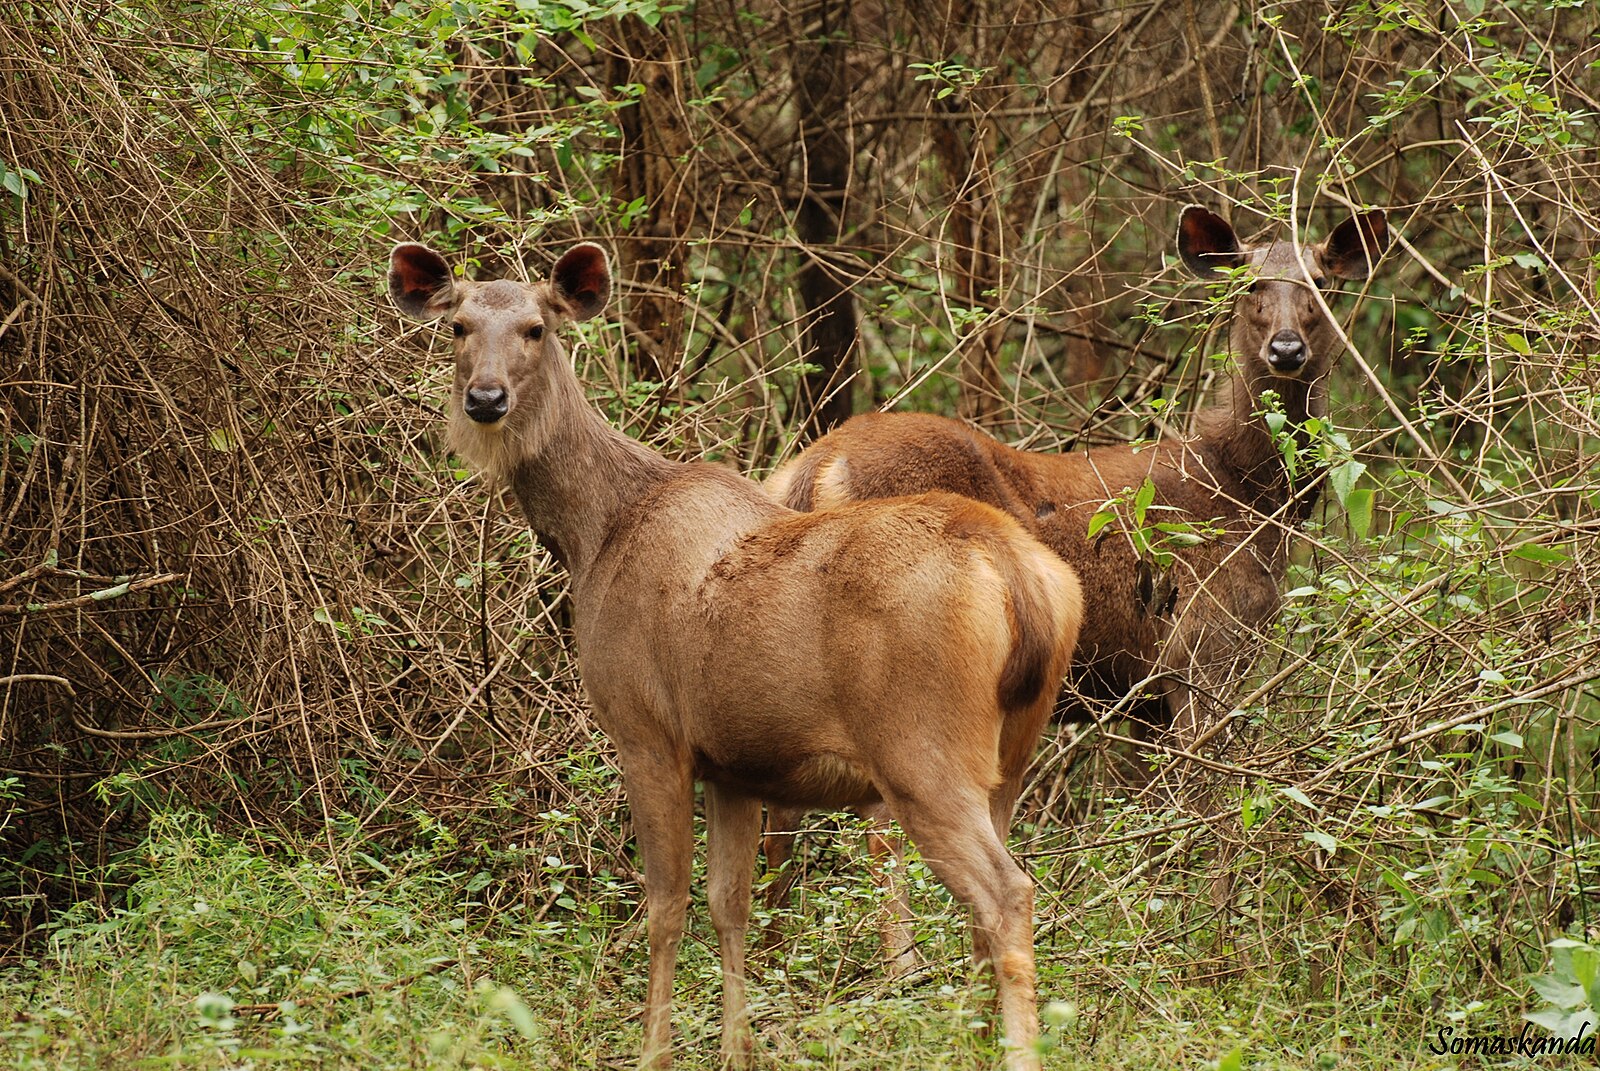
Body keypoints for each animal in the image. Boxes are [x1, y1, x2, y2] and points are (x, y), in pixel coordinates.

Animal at [388, 240, 1088, 1069]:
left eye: (536, 327)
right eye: (459, 325)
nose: (486, 399)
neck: (596, 536)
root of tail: (1023, 579)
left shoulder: (646, 731)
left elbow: (666, 905)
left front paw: (655, 1049)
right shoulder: (735, 761)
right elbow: (732, 904)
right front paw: (737, 1047)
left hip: (923, 750)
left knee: (1006, 895)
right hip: (1013, 756)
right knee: (990, 902)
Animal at [761, 204, 1388, 928]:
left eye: (1321, 283)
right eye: (1248, 285)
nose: (1287, 349)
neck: (1246, 496)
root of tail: (815, 467)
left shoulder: (1144, 690)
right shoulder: (1203, 648)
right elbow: (1213, 809)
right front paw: (1214, 927)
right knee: (883, 825)